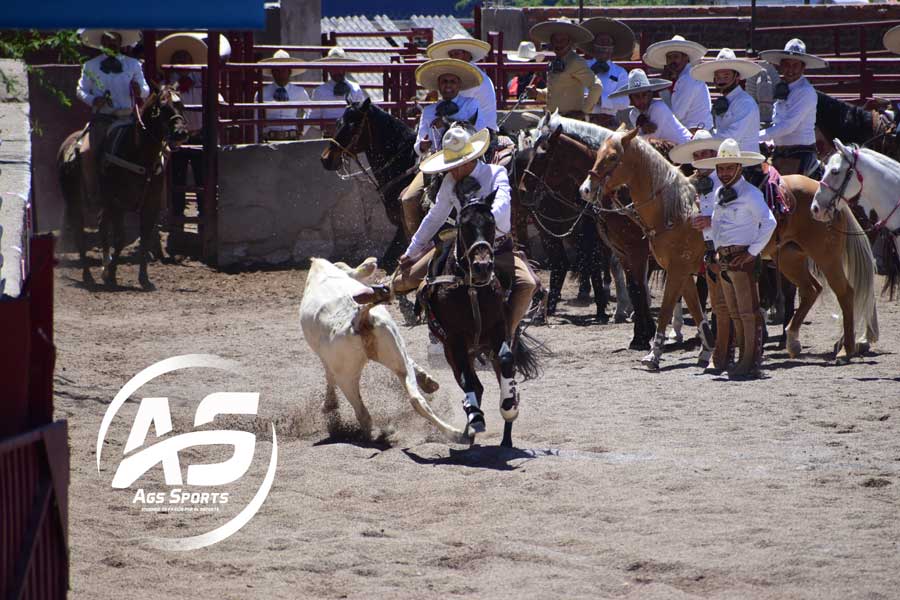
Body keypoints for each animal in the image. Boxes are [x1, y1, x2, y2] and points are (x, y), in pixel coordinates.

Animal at [58, 85, 188, 290]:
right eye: (163, 107)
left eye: (181, 105)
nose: (181, 132)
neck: (138, 153)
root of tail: (65, 146)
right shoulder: (117, 203)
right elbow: (120, 238)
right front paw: (110, 275)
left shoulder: (150, 205)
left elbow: (144, 239)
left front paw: (143, 279)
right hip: (75, 200)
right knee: (80, 233)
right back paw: (88, 276)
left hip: (104, 204)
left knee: (102, 225)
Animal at [416, 191, 540, 446]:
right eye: (464, 225)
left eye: (491, 223)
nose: (482, 266)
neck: (472, 288)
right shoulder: (454, 341)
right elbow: (468, 380)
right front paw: (474, 417)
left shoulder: (498, 329)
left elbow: (505, 359)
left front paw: (509, 405)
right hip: (457, 351)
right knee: (474, 383)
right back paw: (471, 425)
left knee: (501, 371)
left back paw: (506, 438)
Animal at [584, 128, 880, 364]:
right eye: (598, 153)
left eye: (612, 157)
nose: (586, 189)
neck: (676, 209)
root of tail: (827, 197)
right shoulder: (683, 272)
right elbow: (696, 310)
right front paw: (707, 350)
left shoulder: (676, 270)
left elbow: (667, 309)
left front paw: (653, 354)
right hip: (790, 258)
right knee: (811, 290)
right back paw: (793, 341)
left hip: (826, 257)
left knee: (845, 293)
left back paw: (846, 349)